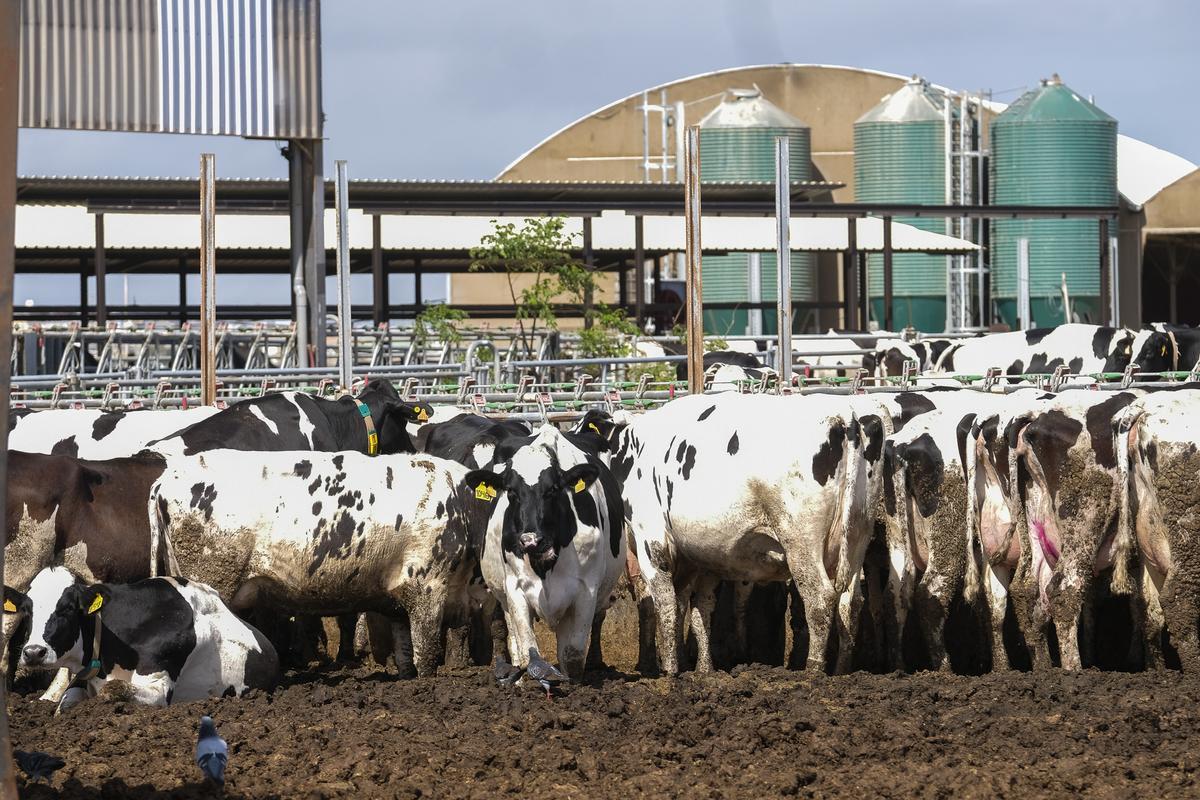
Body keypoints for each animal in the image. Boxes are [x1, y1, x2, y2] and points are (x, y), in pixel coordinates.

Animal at [17, 566, 280, 710]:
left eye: (68, 608)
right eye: (27, 610)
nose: (33, 652)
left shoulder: (158, 689)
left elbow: (114, 690)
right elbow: (64, 703)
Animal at [463, 429, 624, 681]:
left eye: (553, 489)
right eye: (511, 492)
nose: (531, 540)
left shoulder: (586, 590)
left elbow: (573, 655)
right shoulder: (516, 588)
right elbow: (528, 649)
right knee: (514, 637)